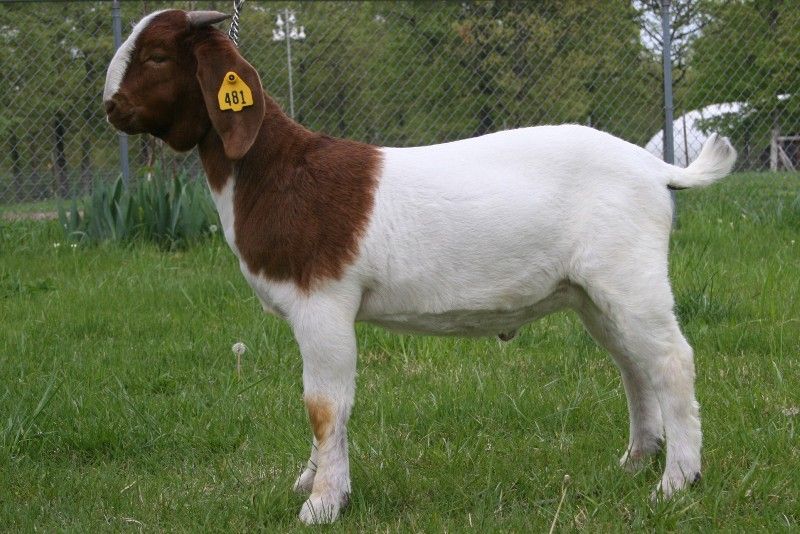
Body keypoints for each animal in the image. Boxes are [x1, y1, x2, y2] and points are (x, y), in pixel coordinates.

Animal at [103, 10, 736, 524]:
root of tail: (655, 169)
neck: (278, 171)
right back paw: (636, 461)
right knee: (633, 366)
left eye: (157, 56)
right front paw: (310, 480)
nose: (110, 107)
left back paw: (676, 482)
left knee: (671, 361)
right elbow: (320, 406)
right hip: (592, 293)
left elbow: (324, 405)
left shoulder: (323, 303)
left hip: (630, 277)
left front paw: (323, 503)